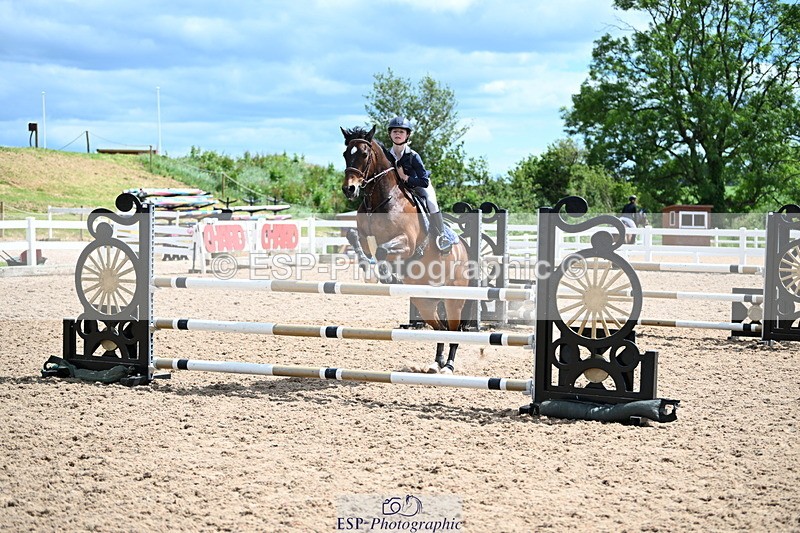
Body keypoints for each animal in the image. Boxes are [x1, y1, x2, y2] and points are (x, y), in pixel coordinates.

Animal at [340, 125, 471, 374]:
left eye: (364, 154)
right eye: (345, 154)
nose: (349, 189)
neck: (379, 201)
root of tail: (464, 251)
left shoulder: (407, 242)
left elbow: (382, 251)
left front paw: (387, 274)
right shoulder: (363, 236)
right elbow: (357, 241)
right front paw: (372, 270)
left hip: (454, 298)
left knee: (454, 329)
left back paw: (448, 366)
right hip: (424, 301)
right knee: (440, 328)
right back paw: (436, 363)